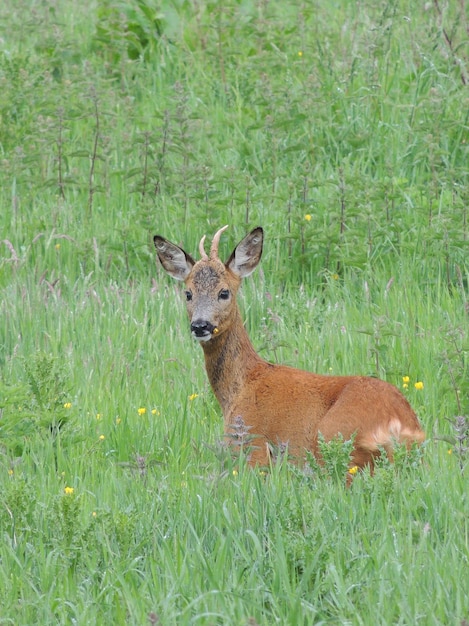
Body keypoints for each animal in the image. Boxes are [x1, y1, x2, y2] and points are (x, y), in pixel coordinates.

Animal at [154, 227, 424, 466]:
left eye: (224, 292)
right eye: (188, 293)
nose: (200, 325)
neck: (238, 388)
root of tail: (400, 425)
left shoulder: (252, 445)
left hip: (333, 439)